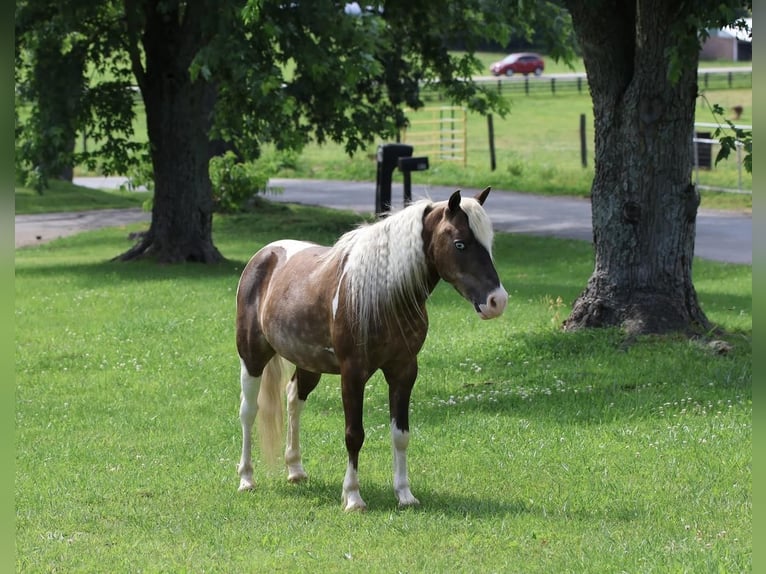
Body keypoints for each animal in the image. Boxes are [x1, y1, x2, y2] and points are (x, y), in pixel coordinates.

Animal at [234, 189, 510, 512]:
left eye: (488, 243)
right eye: (460, 244)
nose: (497, 301)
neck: (383, 295)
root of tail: (264, 255)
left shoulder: (404, 370)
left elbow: (401, 434)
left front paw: (404, 494)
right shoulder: (353, 374)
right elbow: (354, 435)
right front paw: (353, 496)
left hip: (309, 364)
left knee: (294, 400)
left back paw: (295, 470)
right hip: (252, 358)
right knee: (248, 411)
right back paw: (246, 478)